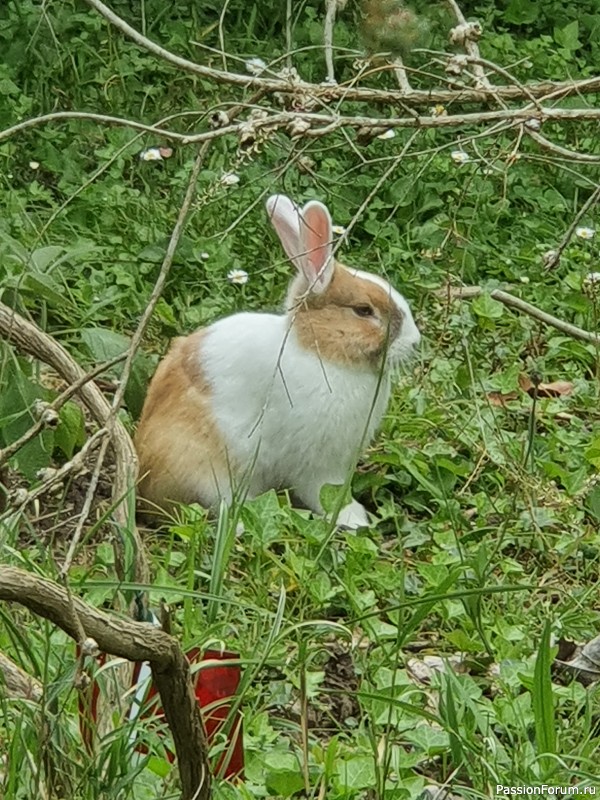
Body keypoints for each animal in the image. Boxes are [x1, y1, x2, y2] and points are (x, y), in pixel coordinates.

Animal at [134, 195, 420, 528]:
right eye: (363, 310)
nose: (415, 341)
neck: (322, 352)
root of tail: (144, 487)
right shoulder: (319, 465)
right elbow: (324, 493)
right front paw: (354, 520)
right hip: (208, 473)